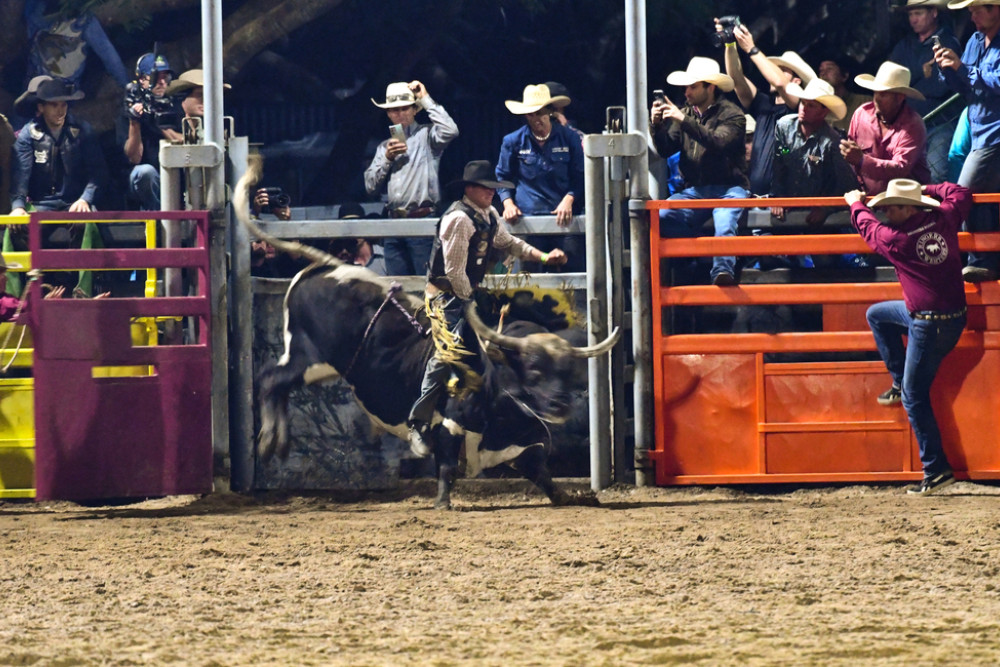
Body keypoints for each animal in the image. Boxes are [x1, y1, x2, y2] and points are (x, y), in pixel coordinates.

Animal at [237, 158, 620, 512]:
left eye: (568, 372)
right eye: (535, 370)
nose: (560, 405)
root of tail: (328, 268)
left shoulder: (520, 442)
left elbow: (541, 472)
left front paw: (567, 496)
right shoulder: (448, 425)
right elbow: (447, 465)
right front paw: (442, 502)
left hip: (318, 364)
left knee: (278, 387)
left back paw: (278, 443)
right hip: (307, 355)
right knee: (270, 380)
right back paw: (268, 443)